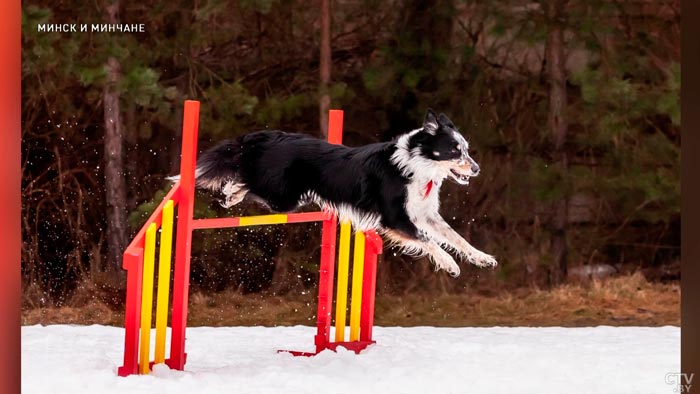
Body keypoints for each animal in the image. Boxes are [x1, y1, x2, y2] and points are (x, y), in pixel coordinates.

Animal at [186, 109, 498, 278]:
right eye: (454, 151)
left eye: (466, 149)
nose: (477, 169)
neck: (417, 162)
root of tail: (265, 136)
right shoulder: (395, 218)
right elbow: (428, 240)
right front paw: (449, 265)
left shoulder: (425, 215)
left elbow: (454, 237)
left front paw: (482, 258)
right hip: (282, 196)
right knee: (244, 178)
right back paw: (228, 193)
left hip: (286, 196)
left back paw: (230, 195)